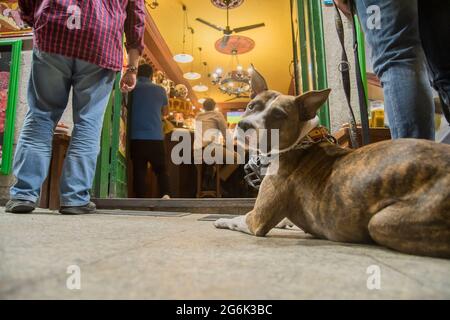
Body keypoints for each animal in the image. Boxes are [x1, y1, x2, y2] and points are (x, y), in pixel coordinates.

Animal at [214, 69, 450, 258]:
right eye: (251, 106)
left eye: (279, 114)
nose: (244, 125)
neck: (300, 142)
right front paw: (288, 224)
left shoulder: (257, 220)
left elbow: (238, 217)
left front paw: (221, 220)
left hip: (381, 222)